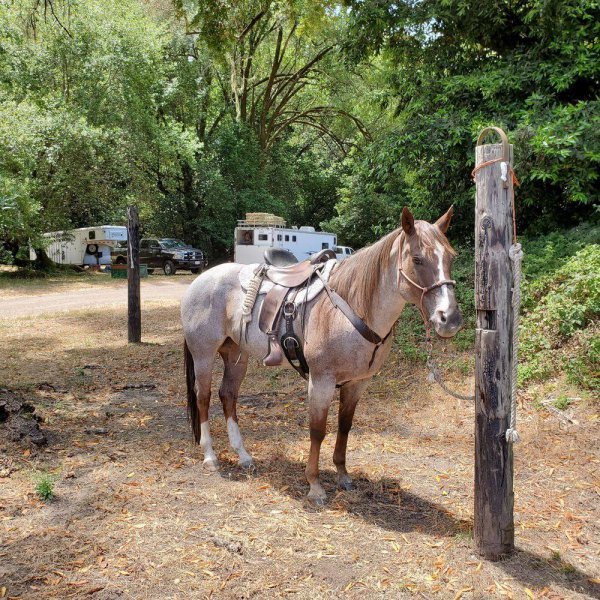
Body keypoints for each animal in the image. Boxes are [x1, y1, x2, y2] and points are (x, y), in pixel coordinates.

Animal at [180, 205, 462, 502]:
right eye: (417, 259)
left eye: (451, 257)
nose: (450, 319)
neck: (351, 308)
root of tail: (201, 279)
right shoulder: (321, 381)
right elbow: (317, 431)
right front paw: (314, 485)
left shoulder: (357, 384)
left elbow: (344, 426)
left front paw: (343, 475)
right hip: (203, 354)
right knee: (203, 397)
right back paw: (210, 456)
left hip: (236, 355)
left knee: (228, 395)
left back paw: (243, 455)